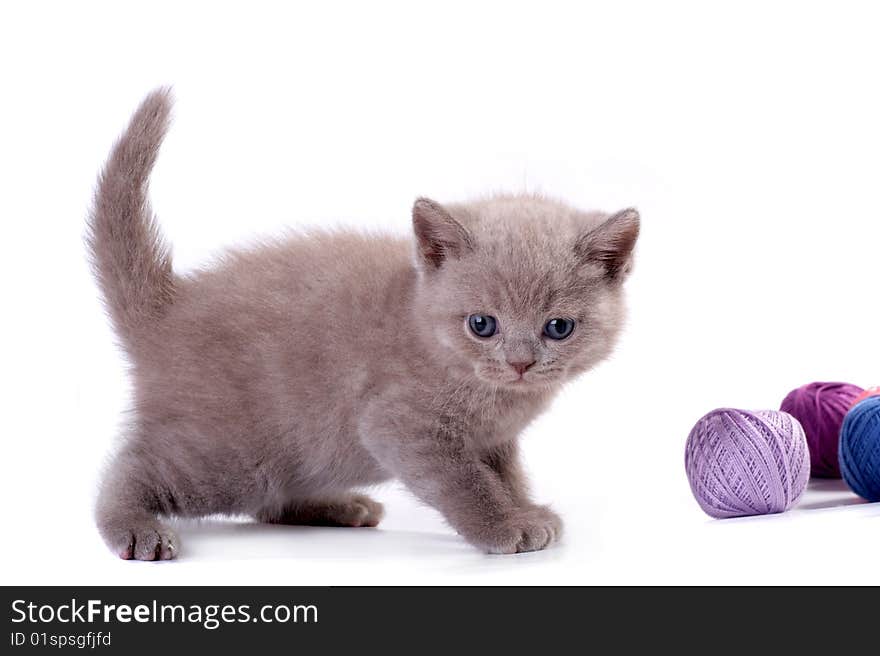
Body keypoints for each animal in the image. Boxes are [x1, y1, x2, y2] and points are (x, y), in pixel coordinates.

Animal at [89, 87, 640, 560]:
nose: (521, 363)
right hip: (232, 455)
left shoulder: (495, 440)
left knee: (270, 502)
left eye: (558, 328)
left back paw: (337, 506)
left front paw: (525, 509)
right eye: (482, 324)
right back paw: (135, 529)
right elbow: (466, 482)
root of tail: (168, 307)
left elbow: (508, 475)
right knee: (131, 469)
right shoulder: (399, 423)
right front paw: (504, 526)